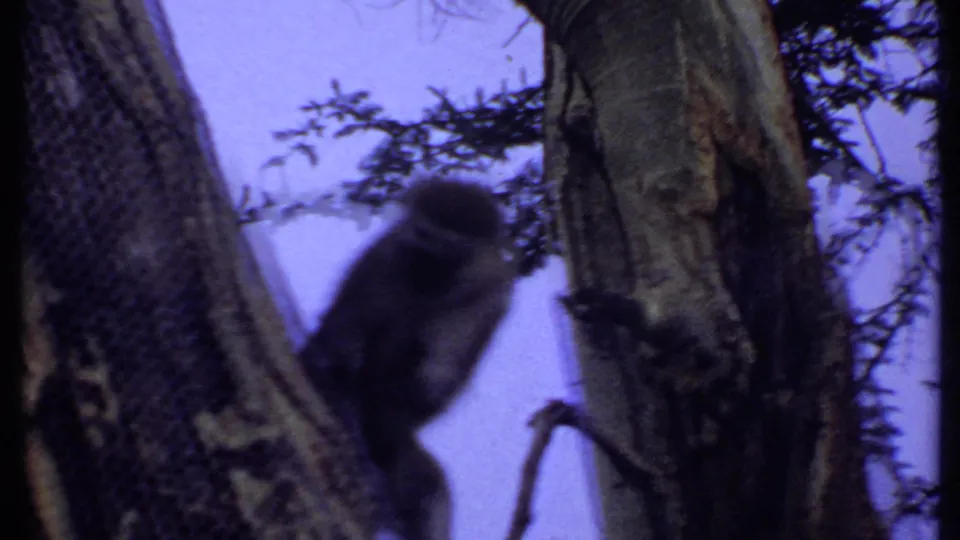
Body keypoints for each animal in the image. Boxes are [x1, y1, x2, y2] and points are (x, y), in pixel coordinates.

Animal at [300, 176, 515, 540]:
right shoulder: (382, 258)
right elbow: (343, 327)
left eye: (452, 250)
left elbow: (435, 387)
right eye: (423, 235)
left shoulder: (490, 299)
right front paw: (338, 359)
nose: (423, 267)